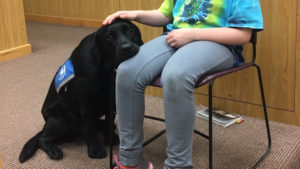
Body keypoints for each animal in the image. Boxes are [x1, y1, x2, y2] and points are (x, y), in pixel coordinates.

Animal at [18, 19, 143, 163]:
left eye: (129, 31)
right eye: (109, 37)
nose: (127, 48)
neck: (105, 70)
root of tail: (46, 123)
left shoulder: (112, 103)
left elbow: (108, 123)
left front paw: (109, 139)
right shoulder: (86, 105)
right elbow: (89, 128)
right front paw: (95, 149)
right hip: (64, 118)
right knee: (42, 139)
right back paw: (53, 149)